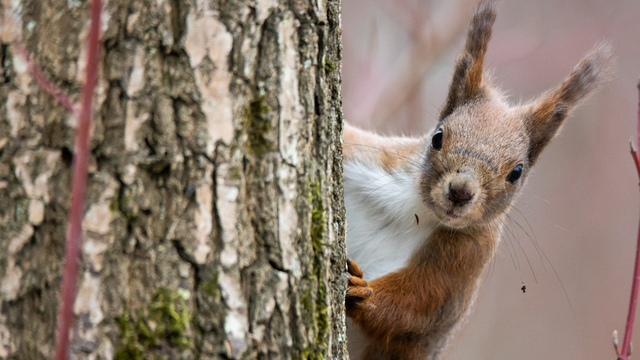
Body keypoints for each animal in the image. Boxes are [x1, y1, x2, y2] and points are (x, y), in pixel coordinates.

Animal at [342, 2, 612, 358]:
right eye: (437, 137)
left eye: (516, 172)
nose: (460, 191)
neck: (415, 209)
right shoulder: (365, 158)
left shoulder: (467, 256)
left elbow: (418, 307)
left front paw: (365, 293)